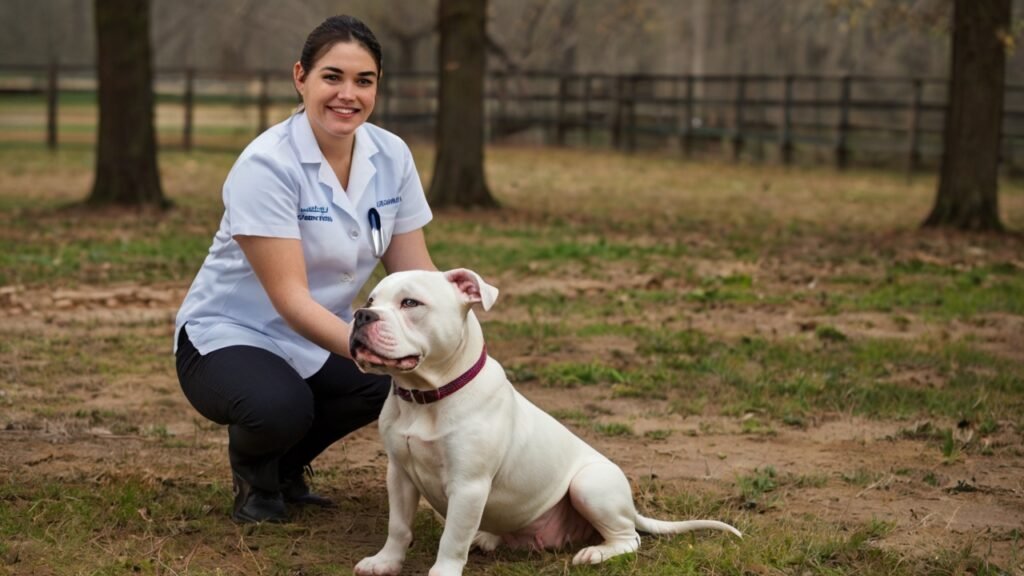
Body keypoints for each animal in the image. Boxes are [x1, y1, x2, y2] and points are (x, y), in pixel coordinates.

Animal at [348, 268, 741, 573]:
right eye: (371, 300)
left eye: (410, 303)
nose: (362, 316)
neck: (426, 396)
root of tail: (632, 507)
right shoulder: (399, 473)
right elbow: (398, 526)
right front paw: (385, 562)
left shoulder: (468, 484)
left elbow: (451, 541)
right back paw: (486, 537)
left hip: (590, 484)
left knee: (629, 538)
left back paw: (596, 553)